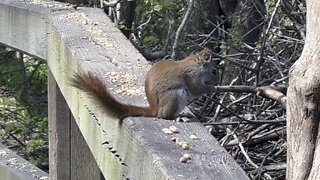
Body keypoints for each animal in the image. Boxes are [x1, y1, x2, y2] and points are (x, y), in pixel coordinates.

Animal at [71, 48, 219, 120]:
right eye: (214, 71)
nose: (217, 81)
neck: (196, 65)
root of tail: (154, 109)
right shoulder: (192, 76)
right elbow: (196, 88)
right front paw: (214, 88)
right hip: (176, 96)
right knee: (165, 116)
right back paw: (180, 116)